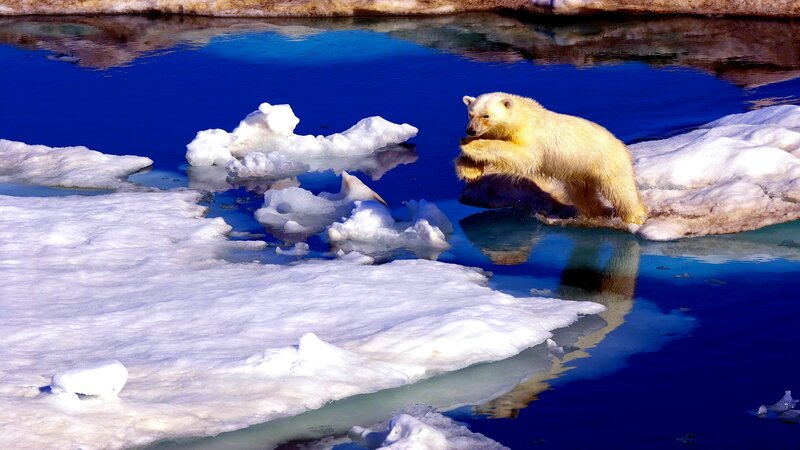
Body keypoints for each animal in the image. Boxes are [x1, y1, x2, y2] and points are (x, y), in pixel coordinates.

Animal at [455, 92, 648, 225]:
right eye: (470, 114)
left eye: (486, 115)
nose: (470, 130)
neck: (524, 115)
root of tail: (621, 145)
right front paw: (469, 170)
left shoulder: (532, 135)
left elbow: (522, 156)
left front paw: (471, 146)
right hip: (580, 172)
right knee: (582, 194)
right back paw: (597, 213)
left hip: (607, 162)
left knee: (621, 190)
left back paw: (635, 217)